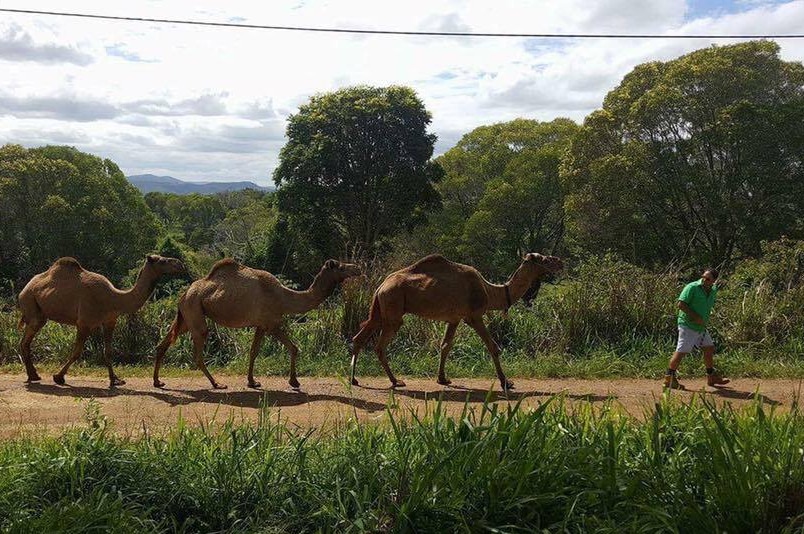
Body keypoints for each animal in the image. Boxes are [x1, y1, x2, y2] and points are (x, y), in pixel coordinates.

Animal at [19, 256, 189, 388]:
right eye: (162, 260)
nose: (180, 264)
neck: (114, 298)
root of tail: (24, 289)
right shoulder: (84, 322)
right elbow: (77, 352)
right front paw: (58, 377)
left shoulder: (109, 321)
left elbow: (108, 351)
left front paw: (115, 380)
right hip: (31, 304)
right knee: (25, 340)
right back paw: (33, 376)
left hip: (40, 313)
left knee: (26, 341)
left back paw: (33, 375)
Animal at [154, 258, 362, 390]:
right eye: (341, 267)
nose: (358, 268)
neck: (284, 297)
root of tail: (183, 294)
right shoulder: (271, 323)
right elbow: (293, 348)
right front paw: (294, 382)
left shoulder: (260, 325)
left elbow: (254, 351)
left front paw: (252, 382)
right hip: (194, 309)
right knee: (198, 348)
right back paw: (217, 384)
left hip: (186, 315)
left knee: (163, 343)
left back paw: (158, 382)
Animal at [348, 253, 564, 392]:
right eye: (544, 258)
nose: (561, 261)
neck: (489, 291)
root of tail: (381, 285)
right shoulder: (474, 316)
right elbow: (493, 347)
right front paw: (506, 382)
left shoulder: (454, 319)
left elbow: (445, 345)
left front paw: (442, 378)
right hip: (393, 306)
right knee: (380, 345)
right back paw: (395, 381)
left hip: (380, 309)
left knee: (360, 336)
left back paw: (354, 379)